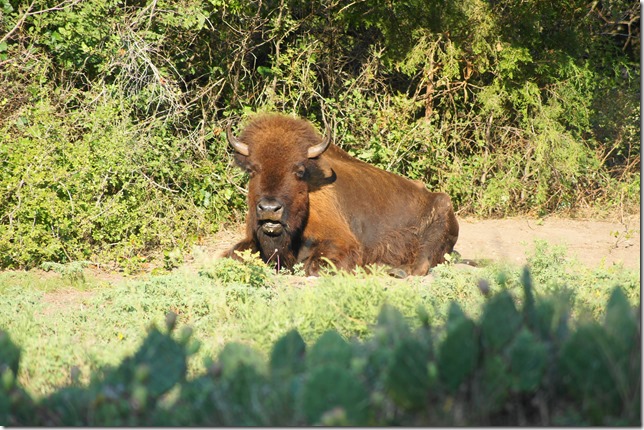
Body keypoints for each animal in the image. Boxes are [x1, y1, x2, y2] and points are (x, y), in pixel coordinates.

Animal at [224, 112, 460, 278]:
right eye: (252, 170)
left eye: (299, 171)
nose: (269, 209)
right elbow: (231, 255)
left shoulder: (342, 242)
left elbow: (315, 267)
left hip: (438, 218)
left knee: (421, 263)